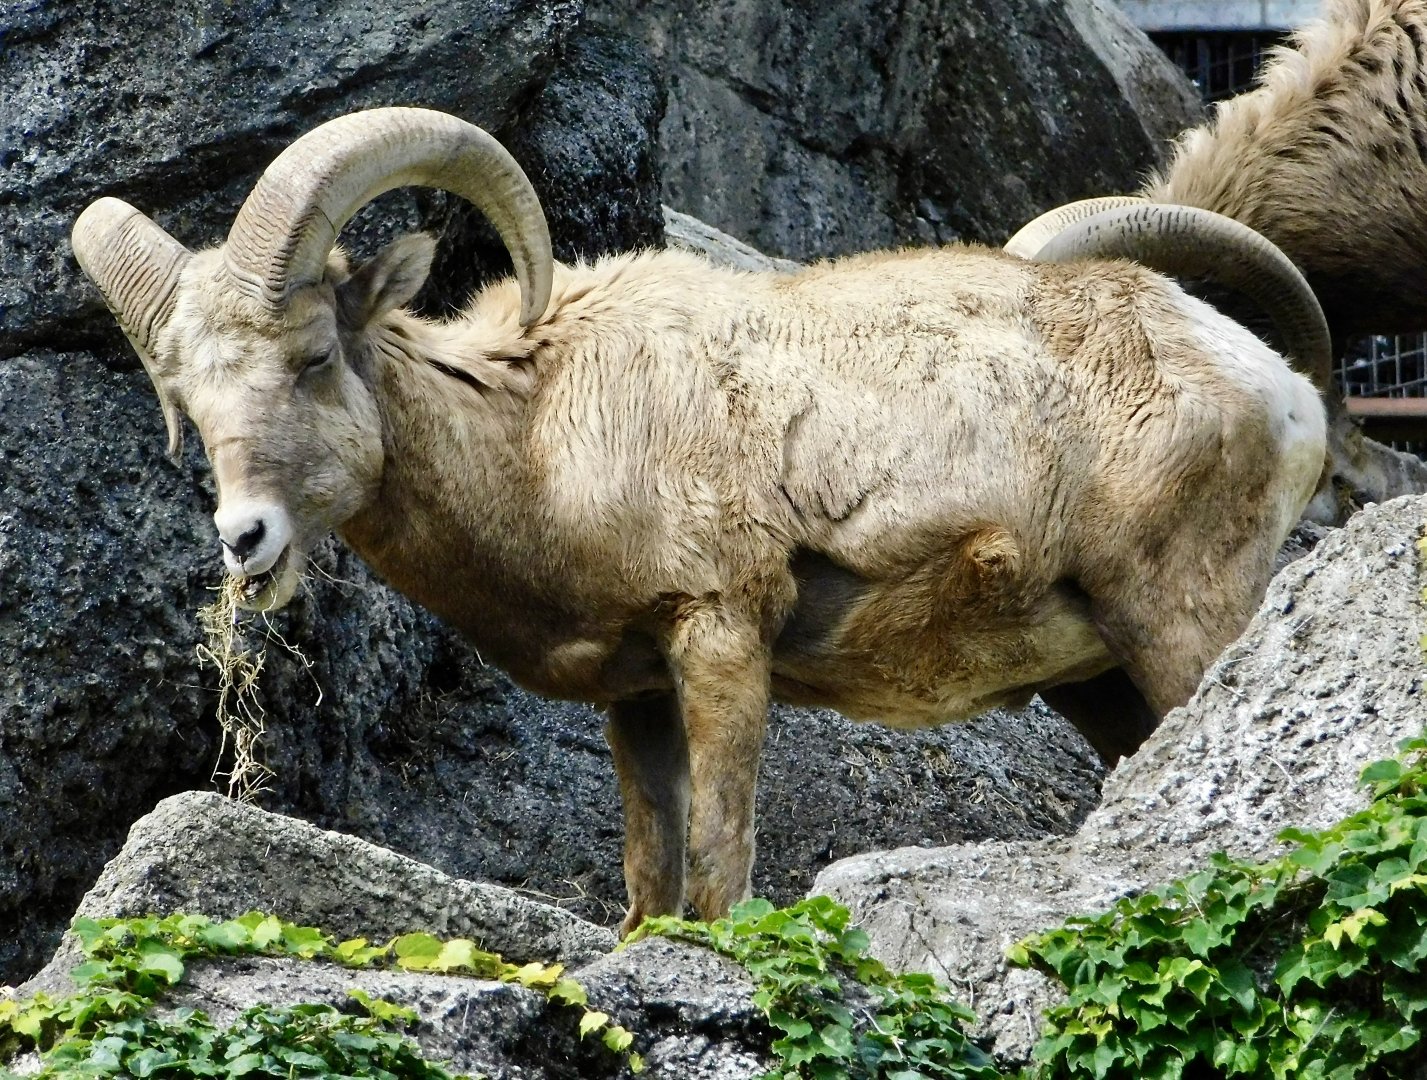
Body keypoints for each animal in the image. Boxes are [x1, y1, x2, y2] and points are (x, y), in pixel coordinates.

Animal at [73, 106, 1330, 934]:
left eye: (312, 356)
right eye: (189, 405)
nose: (246, 541)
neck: (538, 438)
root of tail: (1280, 392)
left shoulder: (721, 636)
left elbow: (721, 867)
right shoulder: (638, 697)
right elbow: (652, 877)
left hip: (1177, 623)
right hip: (1101, 683)